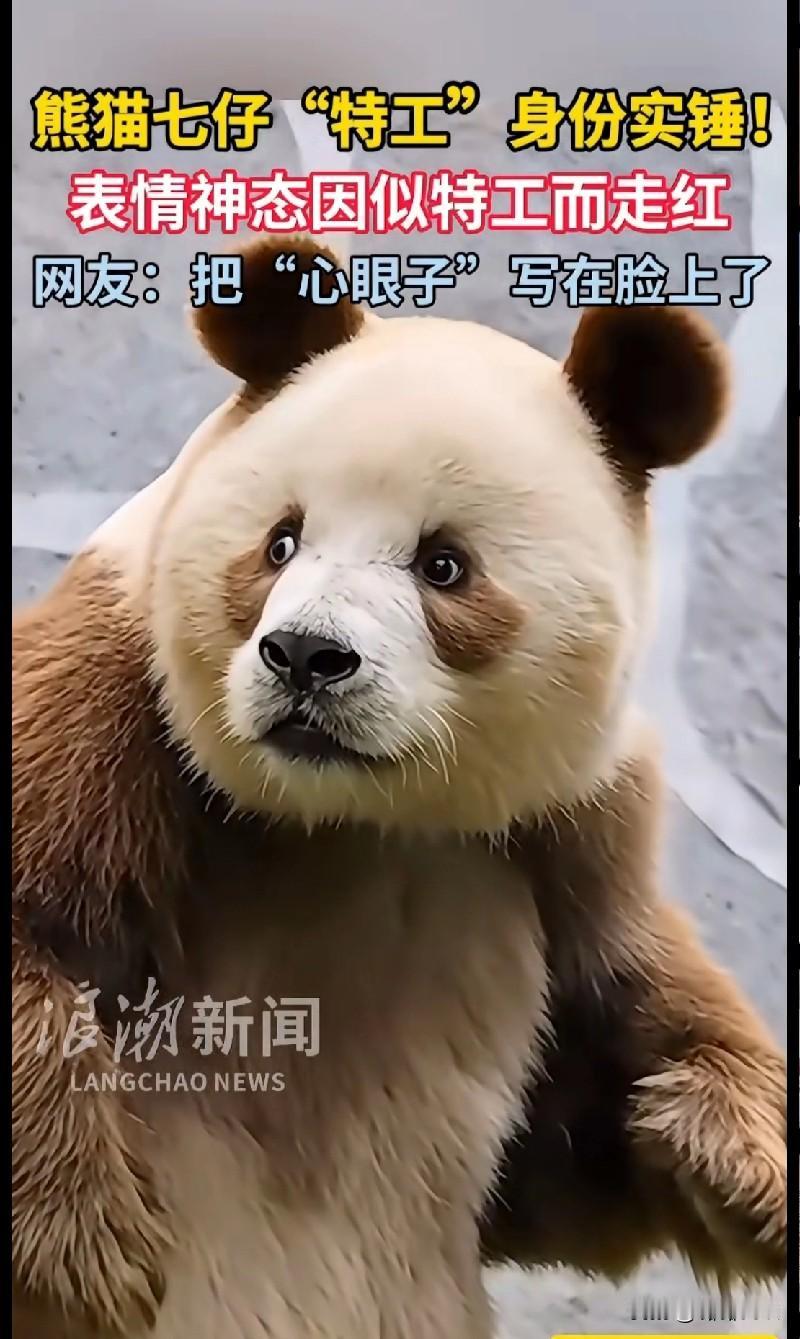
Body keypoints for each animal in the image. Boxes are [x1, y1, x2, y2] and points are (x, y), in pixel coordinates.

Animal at [12, 236, 786, 1339]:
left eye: (444, 564)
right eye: (280, 540)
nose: (304, 656)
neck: (350, 814)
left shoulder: (563, 834)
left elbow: (584, 1118)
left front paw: (739, 1163)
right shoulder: (119, 700)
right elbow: (33, 920)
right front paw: (95, 1249)